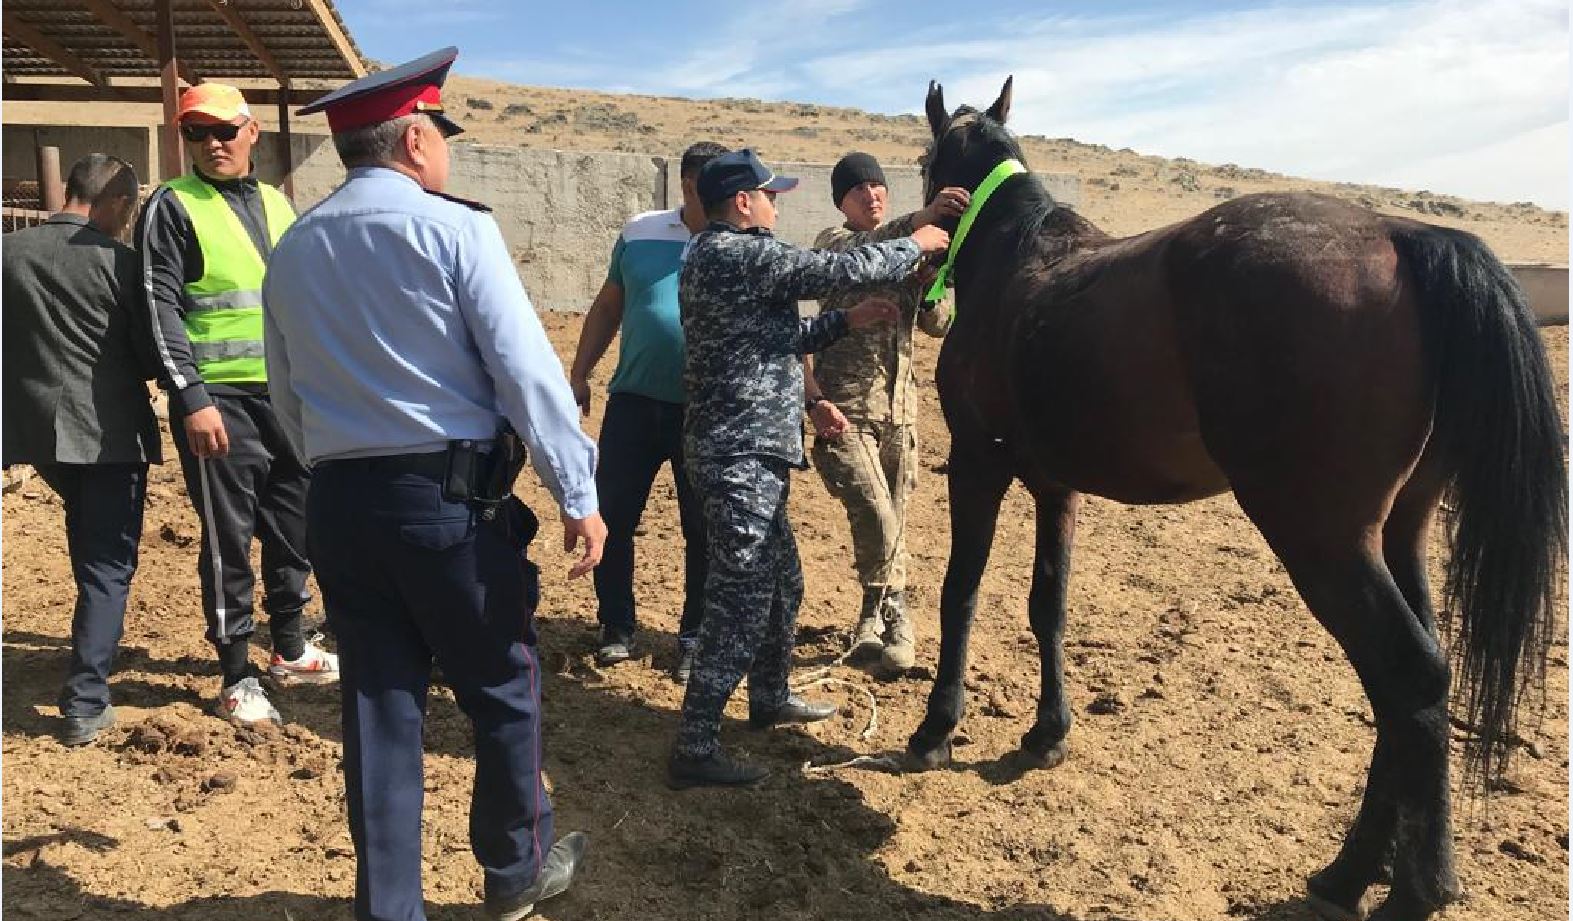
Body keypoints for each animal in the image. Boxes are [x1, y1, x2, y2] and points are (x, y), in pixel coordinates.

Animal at [906, 78, 1566, 917]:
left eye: (923, 162)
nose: (926, 297)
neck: (1015, 264)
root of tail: (1402, 233)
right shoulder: (1057, 486)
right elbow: (1046, 603)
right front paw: (1046, 731)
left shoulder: (975, 466)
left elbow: (959, 592)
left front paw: (935, 729)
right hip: (1399, 531)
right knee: (1414, 684)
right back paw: (1359, 870)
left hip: (1320, 539)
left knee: (1408, 678)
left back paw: (1401, 886)